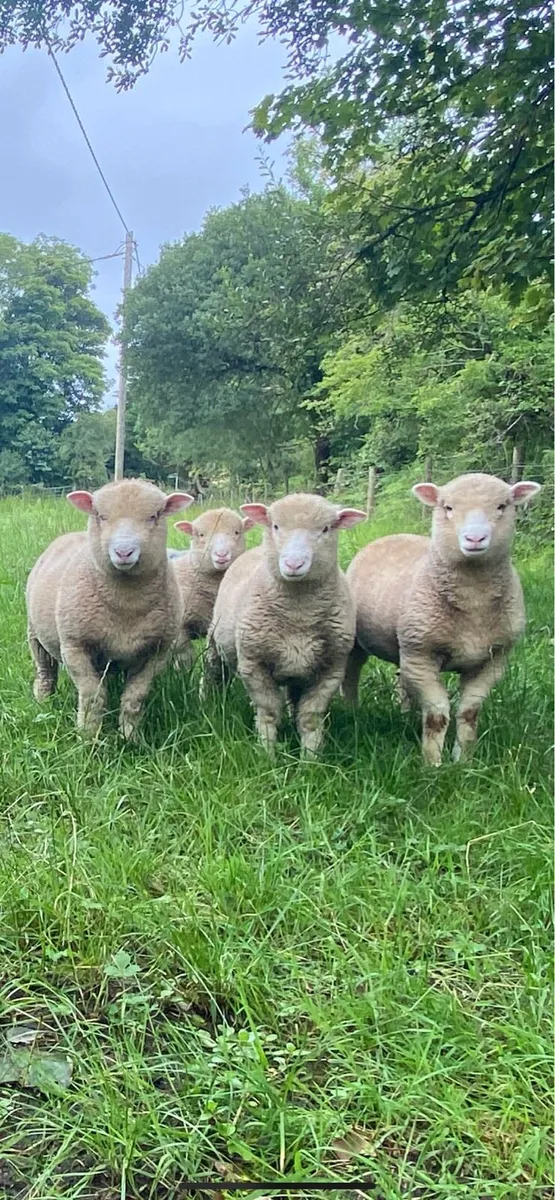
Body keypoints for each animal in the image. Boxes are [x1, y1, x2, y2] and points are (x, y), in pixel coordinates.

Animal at [26, 479, 193, 738]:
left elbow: (135, 698)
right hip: (35, 634)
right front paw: (88, 736)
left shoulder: (156, 653)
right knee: (45, 671)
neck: (126, 606)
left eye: (154, 516)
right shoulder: (75, 646)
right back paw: (43, 701)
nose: (124, 552)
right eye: (101, 516)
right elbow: (92, 696)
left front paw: (130, 737)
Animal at [204, 493, 366, 756]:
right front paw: (266, 754)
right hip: (215, 642)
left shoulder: (331, 669)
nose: (293, 564)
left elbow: (309, 717)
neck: (298, 616)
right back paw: (208, 700)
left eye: (325, 529)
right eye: (276, 526)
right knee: (213, 672)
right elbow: (269, 713)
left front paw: (310, 759)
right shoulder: (253, 664)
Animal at [344, 473, 541, 765]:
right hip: (365, 643)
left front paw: (463, 761)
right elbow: (437, 715)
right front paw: (433, 764)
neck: (474, 603)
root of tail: (392, 535)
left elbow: (470, 712)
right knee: (352, 672)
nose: (474, 538)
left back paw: (406, 715)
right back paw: (352, 712)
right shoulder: (422, 656)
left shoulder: (493, 660)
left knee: (402, 679)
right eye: (448, 507)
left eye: (502, 506)